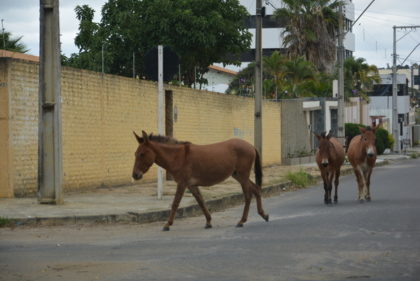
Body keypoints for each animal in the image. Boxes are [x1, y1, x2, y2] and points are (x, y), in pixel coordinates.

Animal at [132, 131, 270, 230]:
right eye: (135, 154)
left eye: (142, 154)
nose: (135, 175)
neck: (178, 157)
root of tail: (250, 145)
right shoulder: (191, 185)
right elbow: (201, 201)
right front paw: (208, 222)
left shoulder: (182, 183)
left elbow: (175, 203)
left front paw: (167, 224)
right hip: (238, 175)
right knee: (256, 189)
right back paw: (263, 215)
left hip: (243, 175)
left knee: (248, 195)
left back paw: (242, 221)